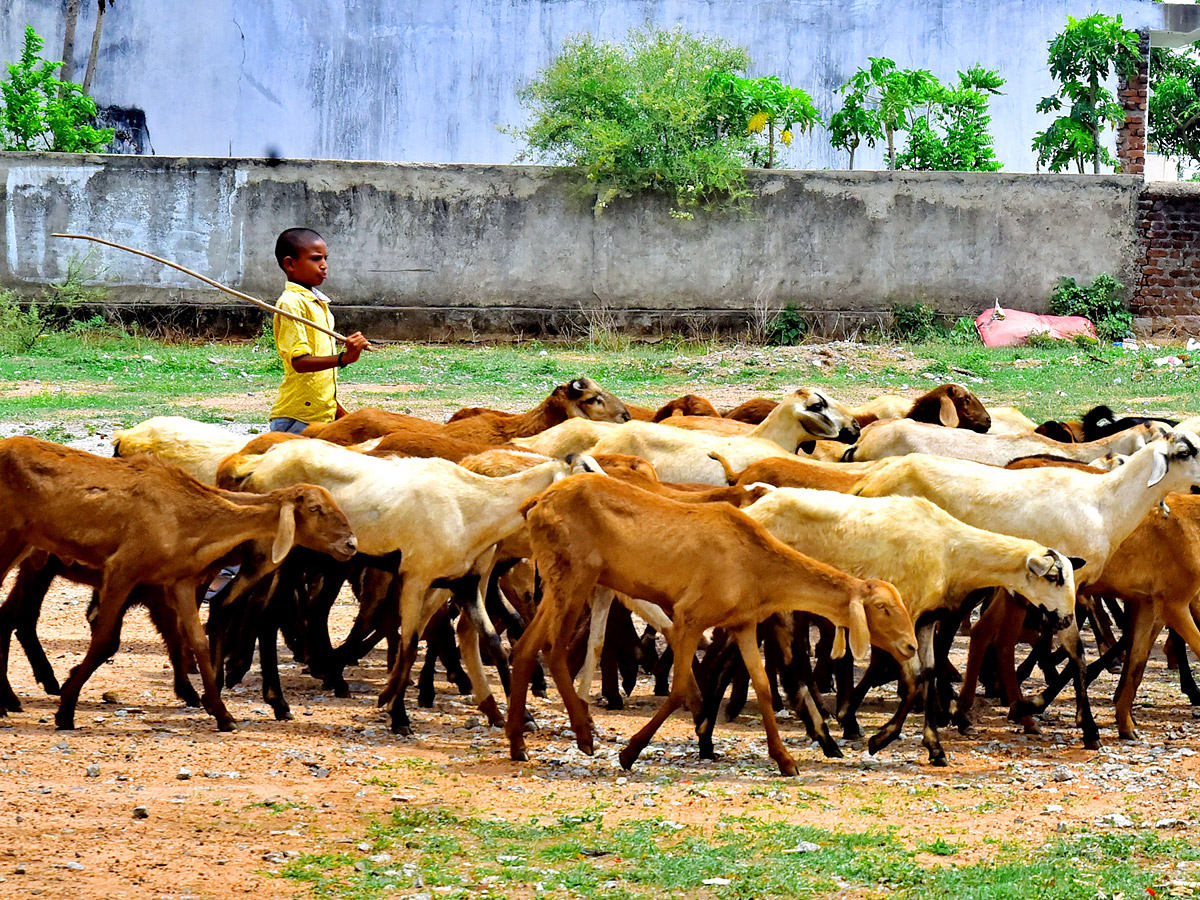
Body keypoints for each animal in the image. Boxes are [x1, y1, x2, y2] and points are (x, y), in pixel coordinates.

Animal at [0, 436, 355, 734]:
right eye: (315, 509)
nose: (351, 544)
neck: (191, 515)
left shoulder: (179, 583)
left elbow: (195, 641)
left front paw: (220, 711)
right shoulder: (123, 571)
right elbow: (103, 641)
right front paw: (66, 709)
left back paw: (10, 699)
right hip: (14, 545)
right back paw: (13, 699)